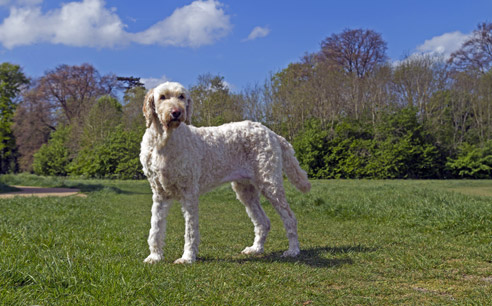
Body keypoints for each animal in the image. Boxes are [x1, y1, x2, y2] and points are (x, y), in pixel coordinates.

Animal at [140, 82, 310, 264]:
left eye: (182, 96)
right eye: (162, 97)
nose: (176, 112)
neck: (163, 141)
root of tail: (272, 133)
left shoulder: (189, 193)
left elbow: (190, 230)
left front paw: (187, 258)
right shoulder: (159, 194)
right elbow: (155, 228)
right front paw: (155, 256)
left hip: (270, 183)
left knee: (290, 218)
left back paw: (293, 250)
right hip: (245, 190)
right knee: (263, 222)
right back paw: (256, 249)